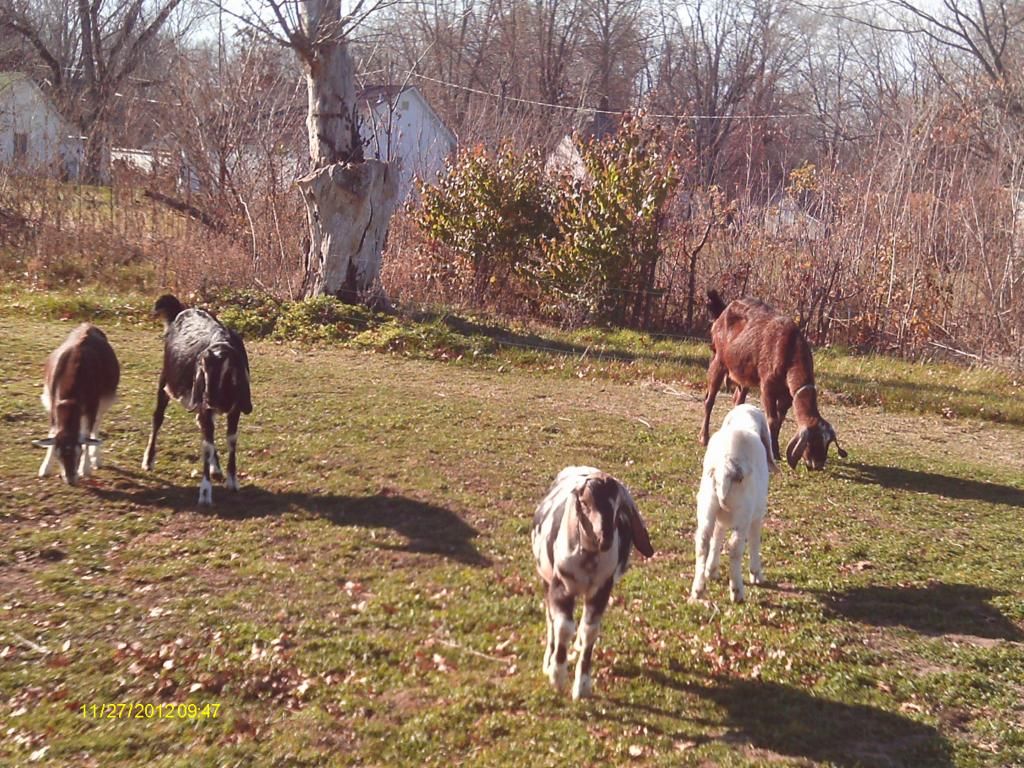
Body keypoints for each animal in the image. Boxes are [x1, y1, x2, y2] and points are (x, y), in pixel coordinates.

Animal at [33, 324, 120, 485]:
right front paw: (44, 469)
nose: (70, 480)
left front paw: (85, 469)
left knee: (96, 426)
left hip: (104, 401)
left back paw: (96, 459)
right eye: (58, 454)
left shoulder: (92, 405)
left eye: (78, 452)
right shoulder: (53, 406)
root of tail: (88, 324)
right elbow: (52, 434)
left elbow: (87, 437)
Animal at [142, 295, 253, 505]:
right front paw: (205, 493)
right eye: (202, 371)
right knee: (157, 417)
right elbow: (206, 447)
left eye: (229, 371)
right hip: (166, 379)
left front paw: (233, 481)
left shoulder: (235, 409)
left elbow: (231, 440)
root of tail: (181, 310)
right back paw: (148, 460)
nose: (209, 400)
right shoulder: (204, 406)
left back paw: (216, 468)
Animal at [531, 466, 654, 700]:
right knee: (551, 619)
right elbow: (563, 627)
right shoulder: (560, 587)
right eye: (584, 503)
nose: (605, 539)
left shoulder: (601, 591)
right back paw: (548, 659)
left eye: (618, 507)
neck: (588, 561)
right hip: (545, 578)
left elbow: (590, 631)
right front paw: (557, 676)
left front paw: (582, 685)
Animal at [691, 404, 775, 603]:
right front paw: (756, 575)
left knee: (703, 542)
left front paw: (711, 571)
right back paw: (737, 591)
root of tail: (726, 467)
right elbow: (754, 542)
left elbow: (717, 536)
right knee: (735, 547)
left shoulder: (720, 517)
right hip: (743, 513)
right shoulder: (756, 516)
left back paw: (698, 589)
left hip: (707, 505)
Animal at [699, 289, 847, 470]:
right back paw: (704, 438)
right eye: (812, 442)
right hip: (719, 360)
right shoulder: (767, 386)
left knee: (738, 400)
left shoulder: (787, 395)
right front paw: (774, 453)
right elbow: (772, 420)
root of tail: (723, 311)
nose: (817, 465)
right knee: (709, 400)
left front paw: (776, 449)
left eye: (827, 443)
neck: (790, 351)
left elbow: (780, 419)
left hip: (744, 373)